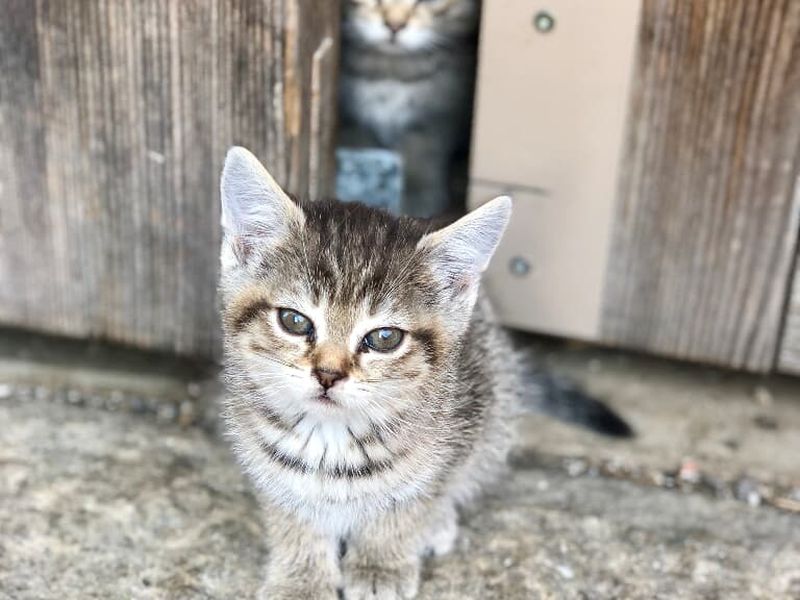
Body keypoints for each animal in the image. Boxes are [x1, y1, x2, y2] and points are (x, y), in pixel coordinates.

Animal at [219, 146, 632, 600]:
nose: (328, 374)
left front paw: (381, 563)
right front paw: (301, 578)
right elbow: (292, 518)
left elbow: (411, 502)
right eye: (294, 321)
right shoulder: (266, 466)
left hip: (498, 395)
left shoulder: (454, 438)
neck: (332, 440)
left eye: (384, 337)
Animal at [340, 0, 482, 218]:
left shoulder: (439, 112)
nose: (394, 25)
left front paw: (418, 190)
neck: (393, 69)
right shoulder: (351, 118)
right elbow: (360, 149)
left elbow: (422, 149)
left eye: (429, 2)